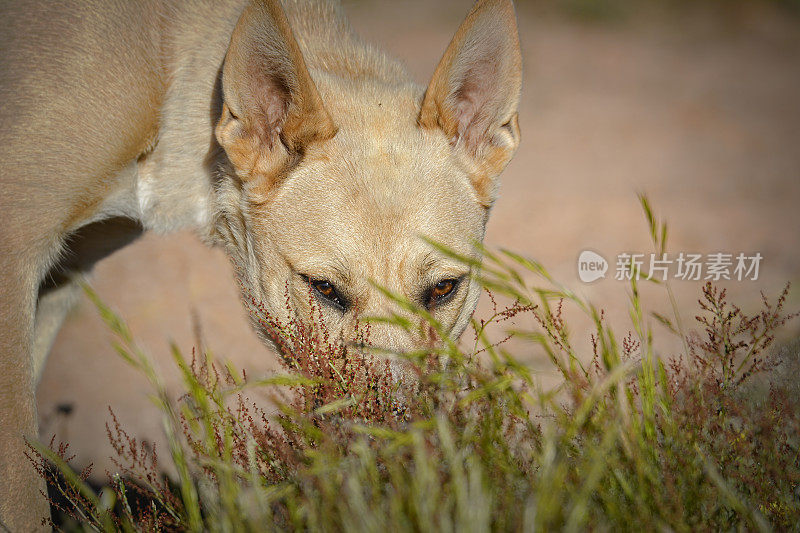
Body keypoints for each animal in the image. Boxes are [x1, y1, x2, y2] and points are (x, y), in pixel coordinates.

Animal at [0, 0, 520, 524]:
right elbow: (24, 494)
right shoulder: (16, 260)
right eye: (324, 289)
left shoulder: (61, 278)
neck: (168, 67)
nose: (394, 449)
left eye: (443, 289)